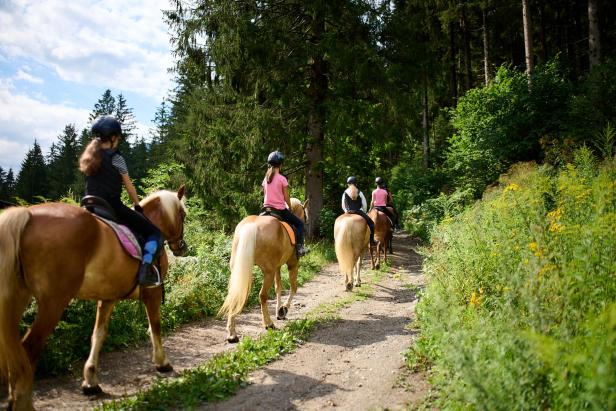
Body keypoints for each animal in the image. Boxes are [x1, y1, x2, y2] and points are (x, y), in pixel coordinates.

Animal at [0, 187, 188, 411]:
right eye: (183, 215)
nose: (181, 246)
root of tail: (27, 214)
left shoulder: (108, 297)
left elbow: (98, 334)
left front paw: (91, 381)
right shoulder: (153, 292)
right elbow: (155, 326)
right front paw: (162, 363)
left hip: (18, 298)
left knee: (13, 351)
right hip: (53, 303)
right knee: (29, 348)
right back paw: (24, 403)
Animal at [220, 200, 308, 344]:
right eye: (304, 215)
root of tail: (251, 226)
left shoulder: (277, 267)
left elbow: (279, 288)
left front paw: (279, 311)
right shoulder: (292, 264)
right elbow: (293, 287)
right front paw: (283, 309)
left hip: (240, 269)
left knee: (234, 295)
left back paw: (232, 334)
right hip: (268, 272)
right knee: (262, 295)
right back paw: (268, 323)